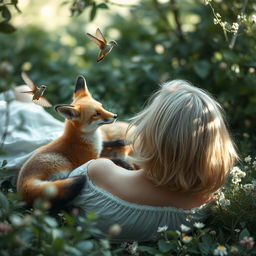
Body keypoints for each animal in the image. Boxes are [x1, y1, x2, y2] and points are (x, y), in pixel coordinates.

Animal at [17, 74, 117, 208]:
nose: (115, 116)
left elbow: (108, 145)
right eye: (96, 114)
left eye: (102, 106)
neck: (87, 139)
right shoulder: (90, 159)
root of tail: (23, 188)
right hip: (61, 163)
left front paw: (118, 142)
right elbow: (108, 159)